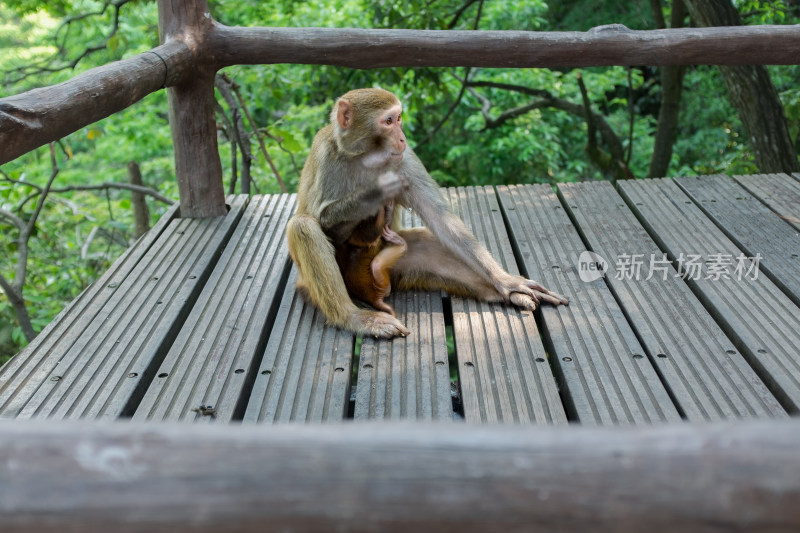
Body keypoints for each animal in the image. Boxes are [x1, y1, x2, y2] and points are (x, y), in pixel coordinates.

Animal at [288, 87, 568, 336]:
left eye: (398, 118)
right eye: (388, 121)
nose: (402, 138)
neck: (365, 156)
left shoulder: (406, 159)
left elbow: (440, 218)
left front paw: (507, 281)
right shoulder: (327, 158)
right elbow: (324, 222)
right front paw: (375, 191)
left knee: (427, 244)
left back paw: (503, 291)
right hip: (312, 282)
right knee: (303, 226)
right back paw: (354, 318)